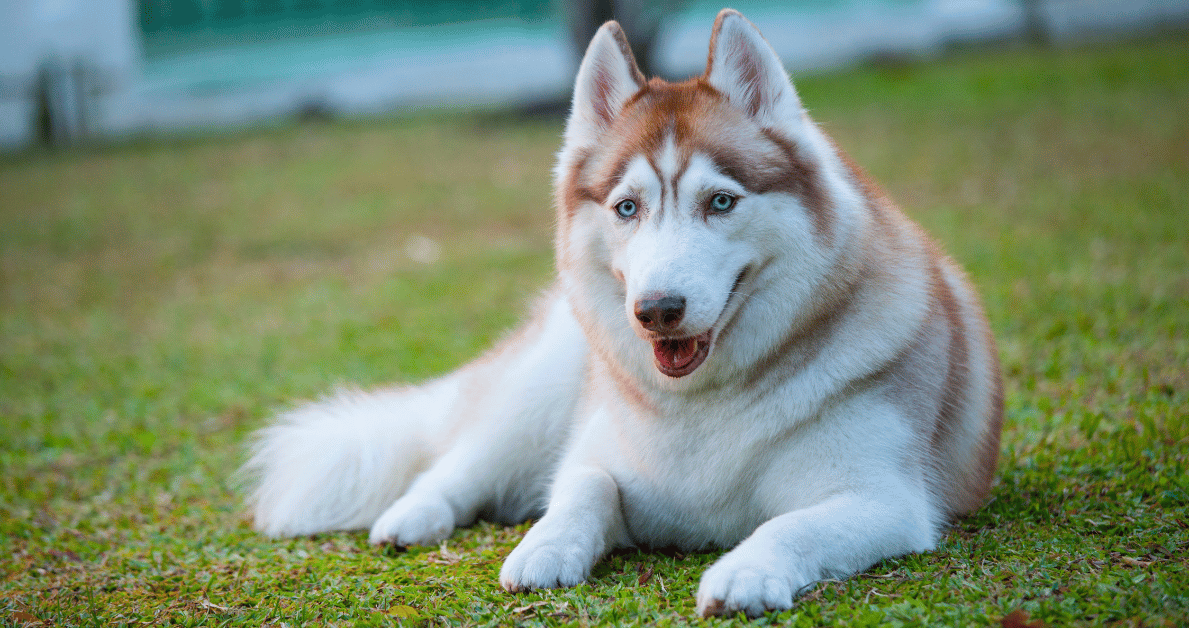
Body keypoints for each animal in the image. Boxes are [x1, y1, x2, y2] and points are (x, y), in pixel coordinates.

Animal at [243, 8, 1003, 619]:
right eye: (627, 207)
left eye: (720, 202)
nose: (657, 311)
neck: (705, 405)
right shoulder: (599, 453)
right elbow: (583, 487)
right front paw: (545, 546)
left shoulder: (883, 501)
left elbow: (792, 526)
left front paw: (745, 570)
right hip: (539, 391)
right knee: (458, 463)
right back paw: (411, 517)